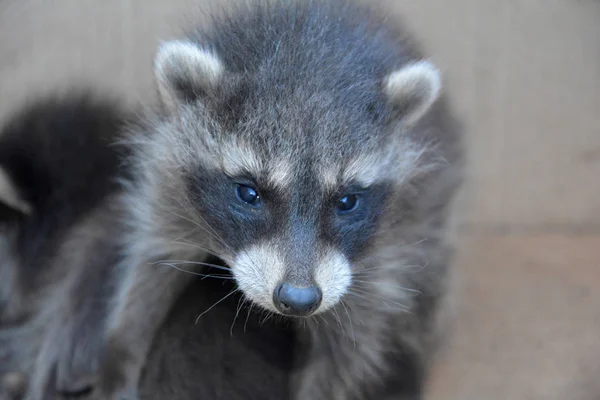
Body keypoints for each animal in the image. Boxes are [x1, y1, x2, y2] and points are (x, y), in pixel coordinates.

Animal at [97, 0, 464, 398]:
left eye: (347, 201)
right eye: (249, 193)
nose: (299, 300)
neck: (307, 48)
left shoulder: (388, 246)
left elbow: (345, 353)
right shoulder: (168, 182)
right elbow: (152, 263)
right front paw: (120, 355)